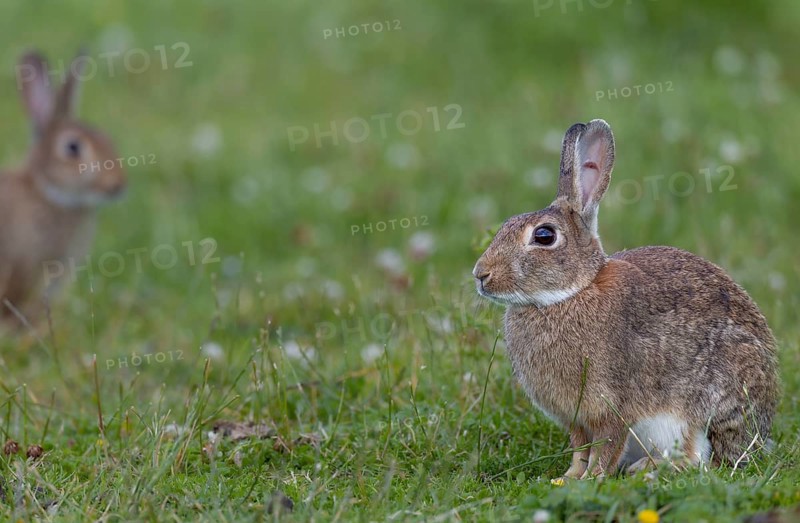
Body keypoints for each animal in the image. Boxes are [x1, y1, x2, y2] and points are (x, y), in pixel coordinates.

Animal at [472, 119, 778, 479]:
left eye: (544, 236)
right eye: (505, 225)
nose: (481, 274)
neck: (570, 293)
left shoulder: (612, 406)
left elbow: (607, 446)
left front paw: (592, 479)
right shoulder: (577, 419)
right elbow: (580, 448)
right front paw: (568, 478)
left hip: (701, 408)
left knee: (698, 458)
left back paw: (648, 467)